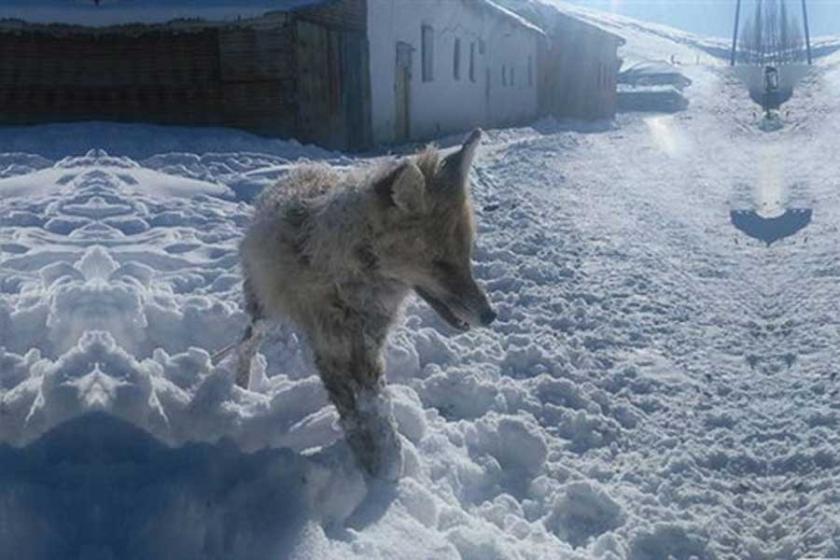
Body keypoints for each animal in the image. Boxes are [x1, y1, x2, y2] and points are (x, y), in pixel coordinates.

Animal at [233, 129, 496, 480]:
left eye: (467, 255)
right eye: (439, 263)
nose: (491, 315)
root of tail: (301, 168)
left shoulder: (369, 347)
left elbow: (378, 410)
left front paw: (390, 468)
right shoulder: (332, 349)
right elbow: (358, 419)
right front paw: (379, 475)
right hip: (264, 310)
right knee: (246, 344)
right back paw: (240, 390)